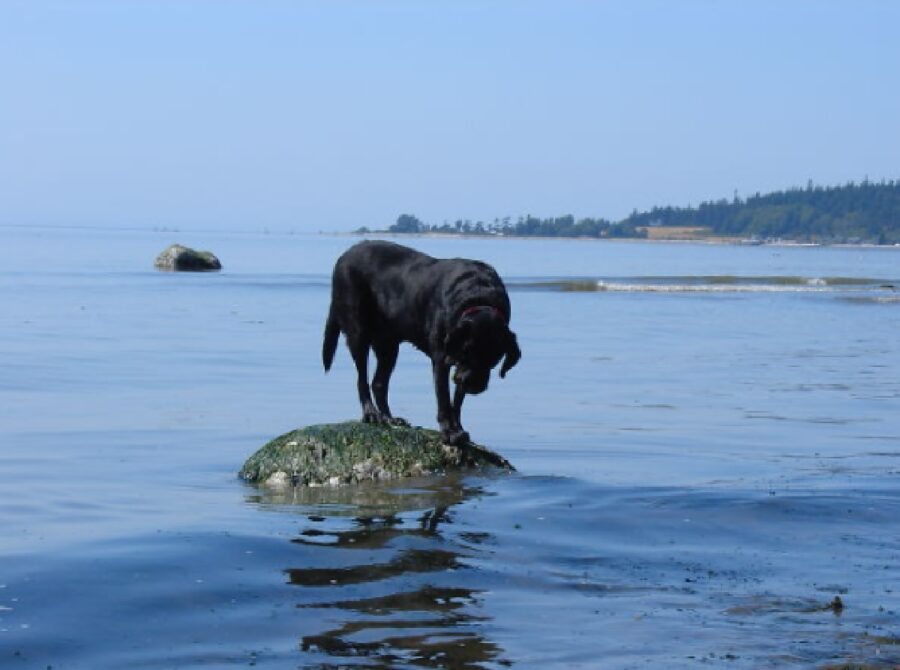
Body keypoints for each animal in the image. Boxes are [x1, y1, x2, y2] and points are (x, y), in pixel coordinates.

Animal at [322, 242, 520, 446]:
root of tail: (345, 254)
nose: (473, 385)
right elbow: (444, 399)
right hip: (358, 330)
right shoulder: (442, 358)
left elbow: (457, 401)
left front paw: (458, 428)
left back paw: (389, 418)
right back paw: (371, 413)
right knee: (362, 377)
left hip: (388, 345)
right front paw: (449, 432)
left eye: (495, 359)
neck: (478, 296)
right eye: (466, 351)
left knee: (378, 383)